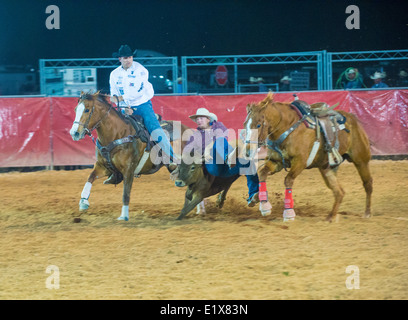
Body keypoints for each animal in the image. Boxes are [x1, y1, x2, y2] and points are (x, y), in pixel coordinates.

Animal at [69, 90, 191, 220]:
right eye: (75, 109)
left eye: (87, 110)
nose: (74, 133)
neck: (118, 134)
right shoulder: (103, 166)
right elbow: (90, 177)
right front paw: (83, 201)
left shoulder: (129, 170)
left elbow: (126, 193)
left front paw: (124, 216)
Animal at [242, 94, 372, 221]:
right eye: (245, 124)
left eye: (258, 124)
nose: (248, 151)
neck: (287, 128)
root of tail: (353, 119)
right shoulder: (276, 162)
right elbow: (262, 173)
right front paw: (261, 202)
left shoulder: (300, 162)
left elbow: (288, 180)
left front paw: (288, 213)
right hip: (326, 168)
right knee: (339, 192)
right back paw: (331, 216)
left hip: (361, 161)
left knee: (367, 183)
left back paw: (367, 213)